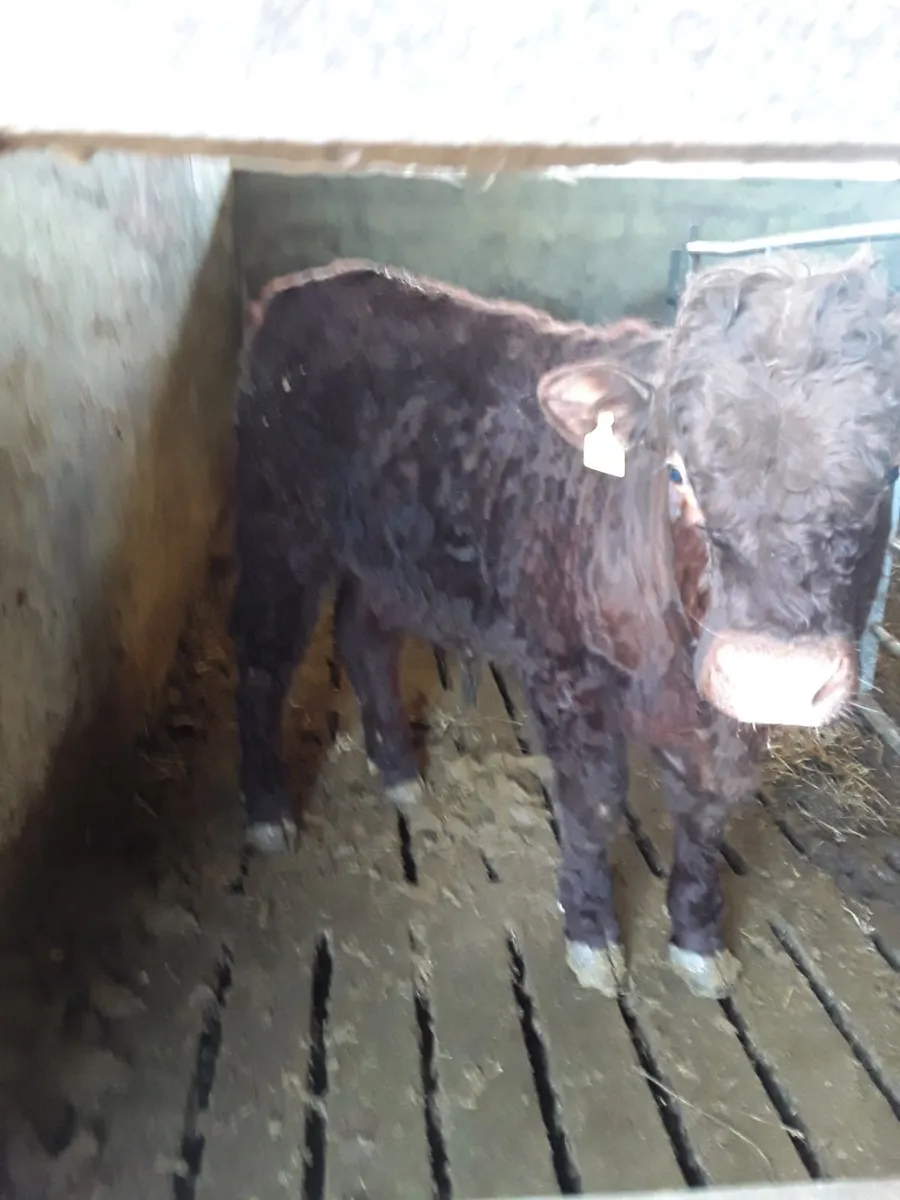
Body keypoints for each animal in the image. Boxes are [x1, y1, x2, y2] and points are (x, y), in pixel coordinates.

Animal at [230, 252, 900, 999]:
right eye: (677, 473)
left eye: (885, 479)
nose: (774, 676)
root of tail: (311, 283)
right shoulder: (563, 675)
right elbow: (593, 805)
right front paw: (592, 931)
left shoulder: (724, 720)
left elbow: (704, 812)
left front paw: (698, 937)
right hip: (279, 529)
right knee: (262, 663)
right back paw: (268, 813)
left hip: (390, 561)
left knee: (364, 638)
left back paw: (400, 771)